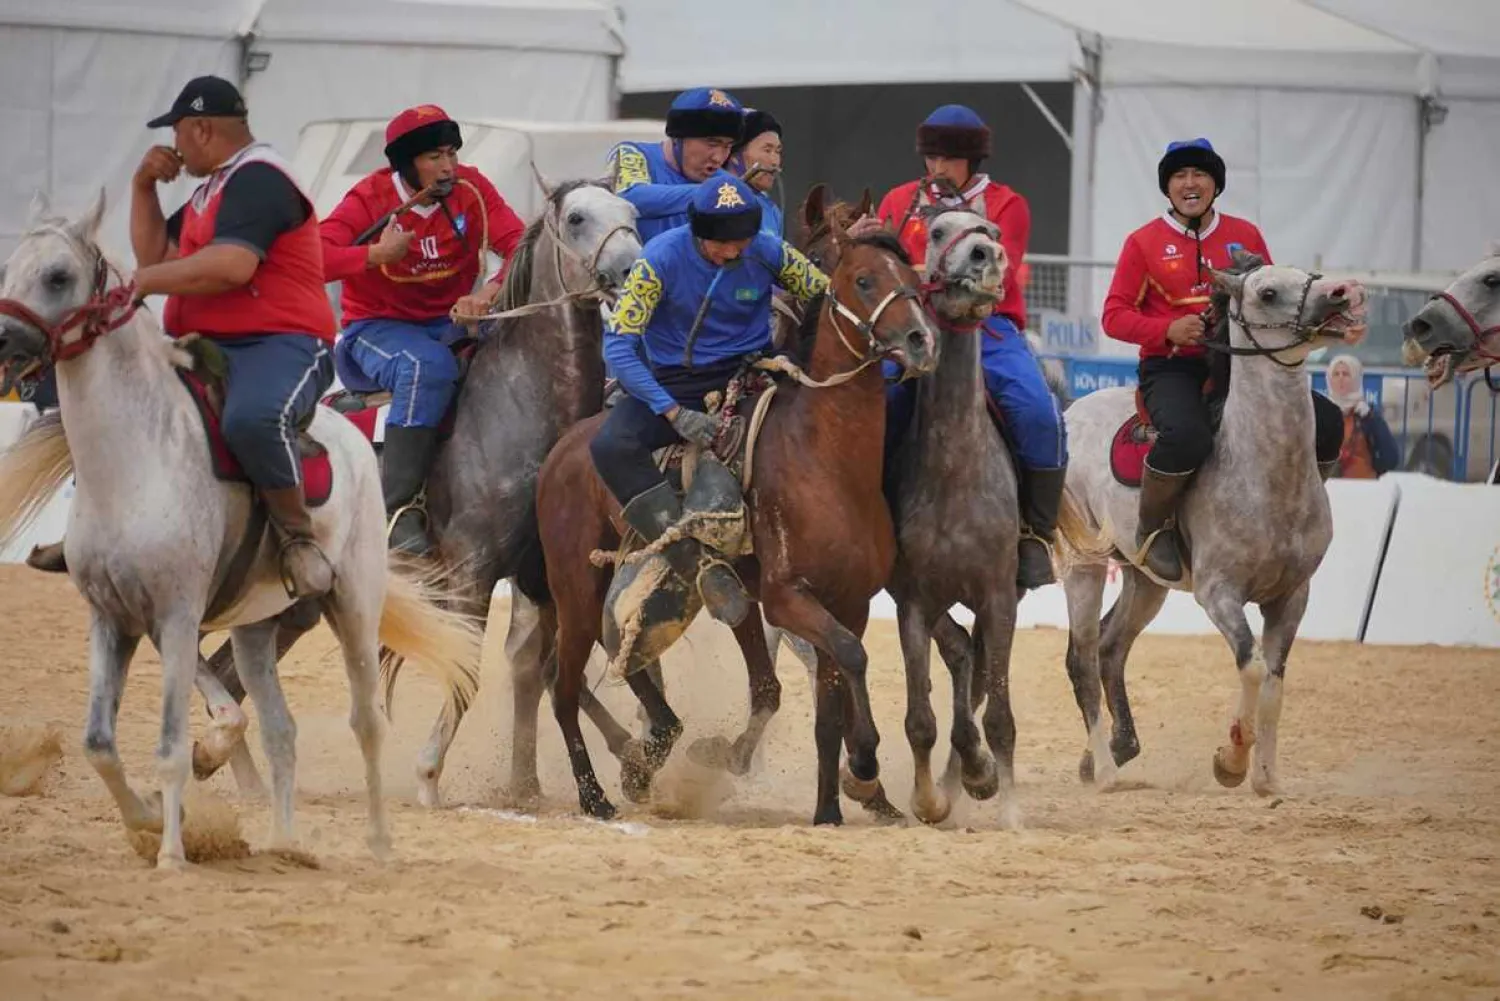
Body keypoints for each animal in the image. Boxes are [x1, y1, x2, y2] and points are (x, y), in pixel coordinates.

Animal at [0, 193, 480, 870]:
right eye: (10, 268)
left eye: (58, 276)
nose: (3, 340)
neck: (135, 458)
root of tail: (356, 435)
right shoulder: (113, 619)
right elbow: (99, 743)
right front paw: (149, 821)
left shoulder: (175, 617)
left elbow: (172, 746)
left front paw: (172, 853)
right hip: (257, 628)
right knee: (281, 729)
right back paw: (283, 842)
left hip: (353, 606)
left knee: (366, 722)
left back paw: (380, 843)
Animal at [537, 217, 936, 822]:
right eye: (865, 279)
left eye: (913, 277)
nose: (920, 340)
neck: (828, 461)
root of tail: (559, 453)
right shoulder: (787, 597)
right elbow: (852, 656)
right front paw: (864, 765)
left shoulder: (850, 602)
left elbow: (830, 702)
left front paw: (832, 807)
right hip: (577, 588)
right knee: (563, 688)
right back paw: (595, 794)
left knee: (621, 658)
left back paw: (647, 756)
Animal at [1056, 256, 1362, 798]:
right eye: (1266, 292)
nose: (1341, 293)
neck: (1264, 471)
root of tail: (1072, 412)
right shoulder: (1220, 593)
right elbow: (1252, 664)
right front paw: (1231, 761)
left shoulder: (1293, 595)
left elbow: (1275, 682)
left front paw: (1267, 777)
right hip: (1084, 567)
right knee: (1084, 657)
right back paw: (1107, 772)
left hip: (1144, 580)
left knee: (1112, 647)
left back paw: (1113, 750)